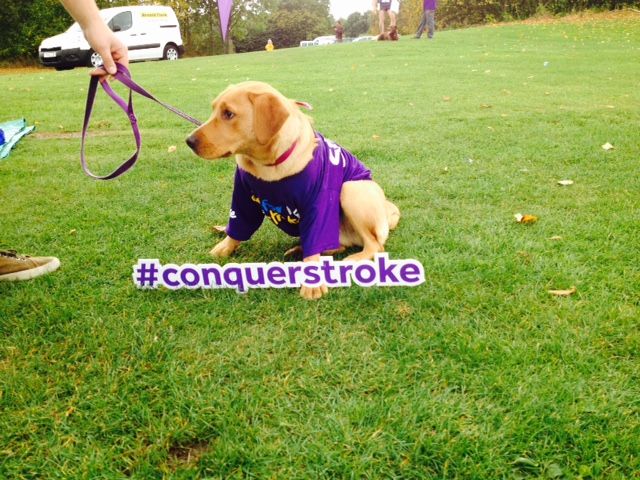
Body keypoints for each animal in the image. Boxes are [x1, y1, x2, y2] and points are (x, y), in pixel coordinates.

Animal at [184, 82, 400, 300]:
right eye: (213, 110)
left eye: (228, 114)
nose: (189, 141)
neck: (269, 166)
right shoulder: (242, 195)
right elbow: (237, 227)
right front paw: (224, 247)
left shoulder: (319, 201)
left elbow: (316, 238)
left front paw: (312, 281)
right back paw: (299, 250)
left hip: (350, 189)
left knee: (375, 244)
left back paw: (353, 259)